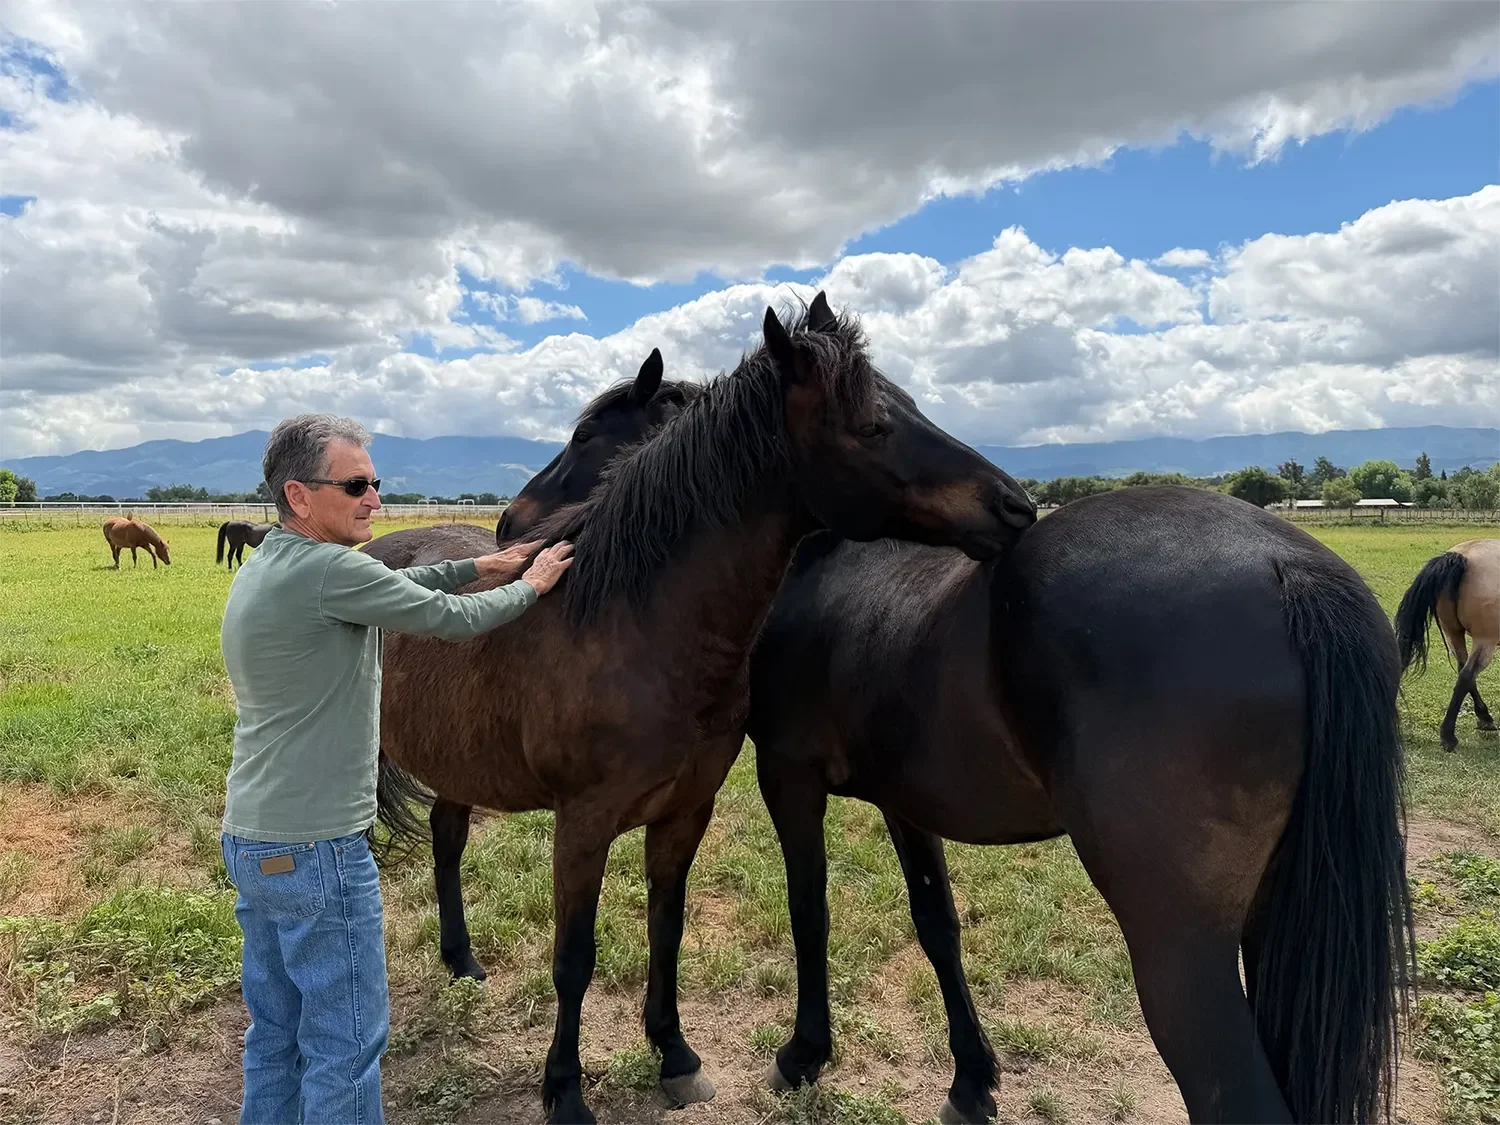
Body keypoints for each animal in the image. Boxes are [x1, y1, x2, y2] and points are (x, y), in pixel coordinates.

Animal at [371, 294, 1036, 1125]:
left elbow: (668, 925)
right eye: (874, 424)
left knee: (446, 833)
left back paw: (461, 959)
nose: (1016, 505)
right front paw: (565, 1091)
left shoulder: (686, 810)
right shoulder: (583, 822)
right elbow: (573, 957)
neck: (634, 621)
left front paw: (675, 1054)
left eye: (586, 436)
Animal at [500, 424, 1414, 1121]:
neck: (814, 564)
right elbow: (937, 925)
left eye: (594, 437)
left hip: (1181, 946)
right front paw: (973, 1079)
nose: (513, 523)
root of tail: (1287, 570)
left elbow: (809, 911)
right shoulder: (908, 802)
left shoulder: (788, 777)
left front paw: (805, 1052)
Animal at [1395, 537, 1500, 751]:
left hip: (1454, 633)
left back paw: (1484, 717)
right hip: (1485, 640)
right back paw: (1449, 736)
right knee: (1466, 675)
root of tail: (1461, 556)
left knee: (1463, 670)